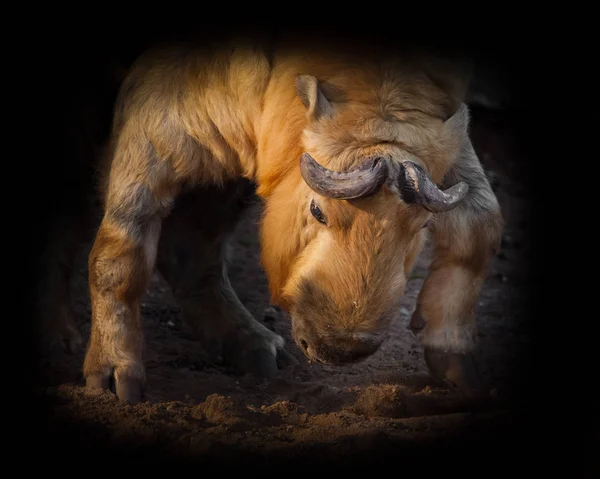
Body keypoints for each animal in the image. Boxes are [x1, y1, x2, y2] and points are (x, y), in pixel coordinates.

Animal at [41, 35, 502, 404]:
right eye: (317, 210)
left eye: (422, 227)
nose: (339, 349)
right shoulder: (154, 124)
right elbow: (121, 258)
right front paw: (114, 377)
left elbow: (483, 225)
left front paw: (457, 364)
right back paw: (60, 336)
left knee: (191, 250)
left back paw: (255, 347)